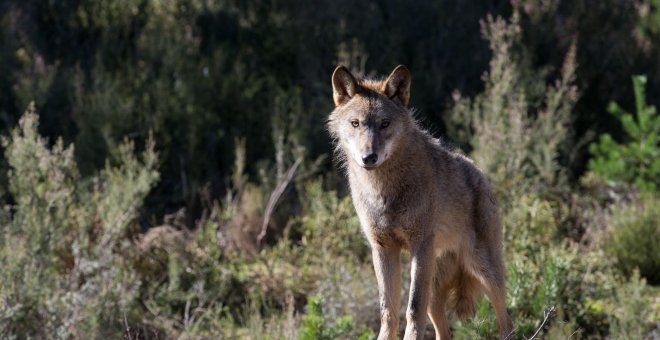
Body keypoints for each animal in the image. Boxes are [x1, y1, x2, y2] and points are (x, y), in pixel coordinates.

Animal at [328, 65, 512, 338]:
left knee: (507, 323)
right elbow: (388, 312)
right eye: (355, 123)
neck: (383, 191)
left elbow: (413, 309)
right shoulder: (382, 249)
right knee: (443, 332)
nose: (369, 157)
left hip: (484, 272)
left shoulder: (420, 245)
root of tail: (480, 173)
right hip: (436, 293)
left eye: (385, 123)